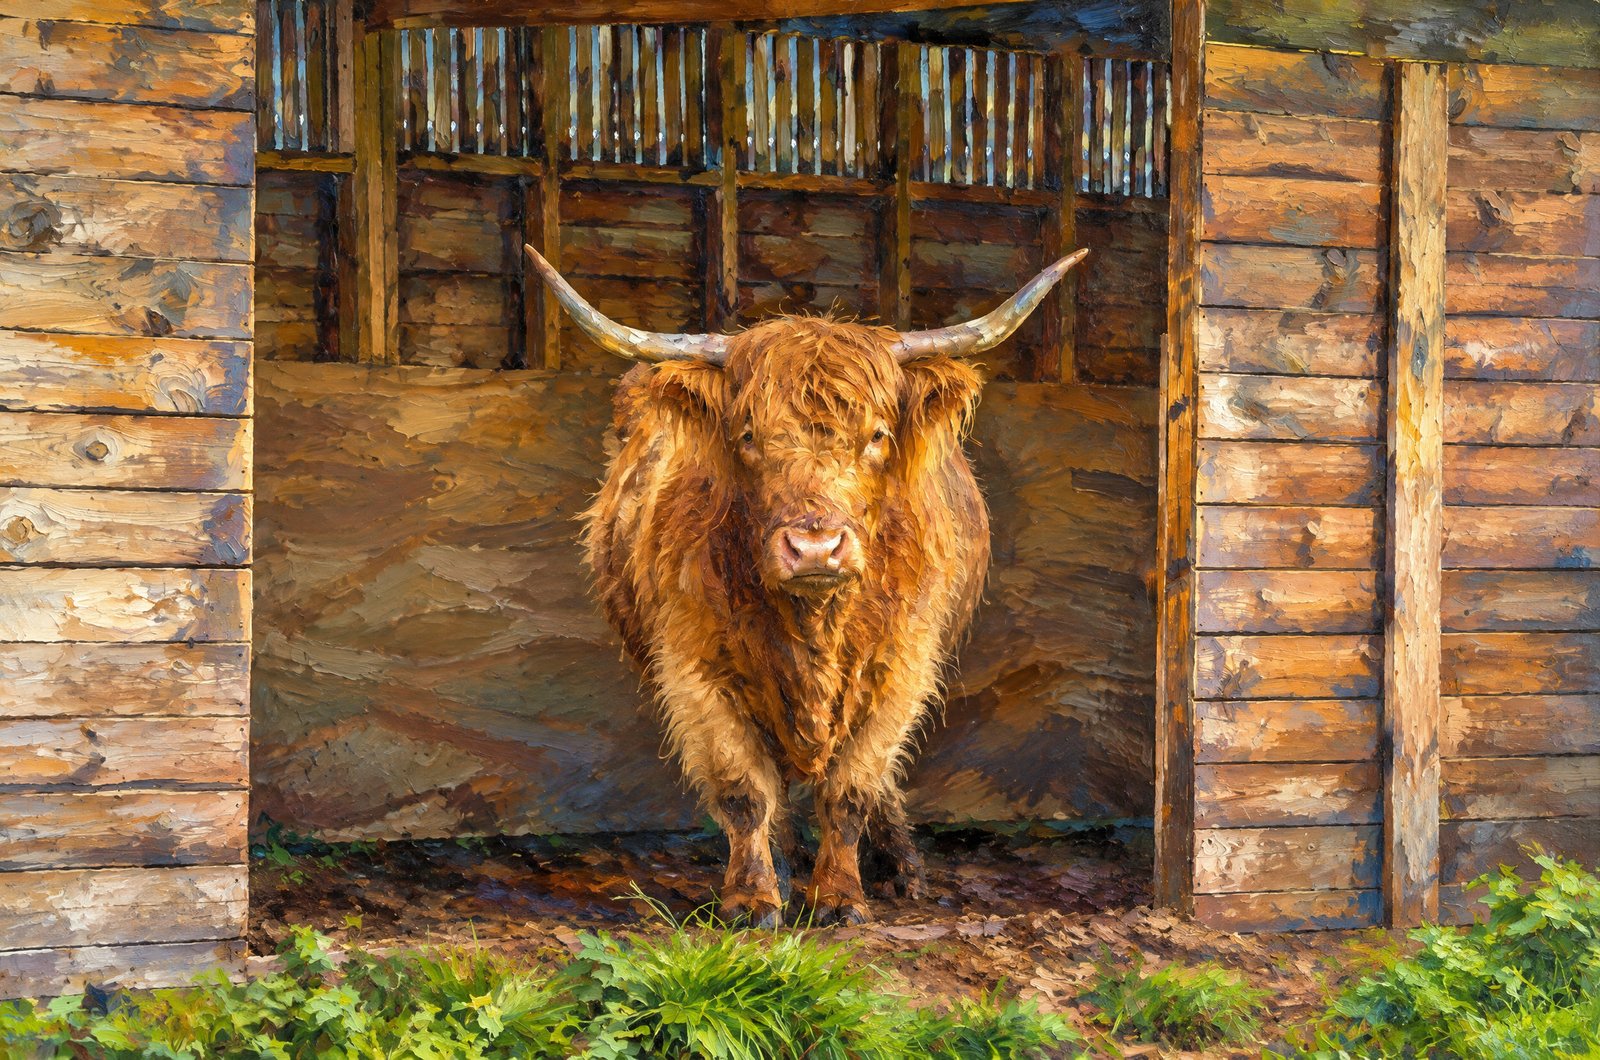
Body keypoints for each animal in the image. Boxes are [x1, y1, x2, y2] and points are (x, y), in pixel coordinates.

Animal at [526, 245, 1088, 927]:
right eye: (747, 435)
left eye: (877, 435)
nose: (815, 548)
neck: (813, 623)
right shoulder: (694, 669)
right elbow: (744, 790)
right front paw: (753, 898)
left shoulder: (902, 668)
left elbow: (852, 789)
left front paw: (842, 897)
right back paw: (788, 866)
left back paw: (900, 869)